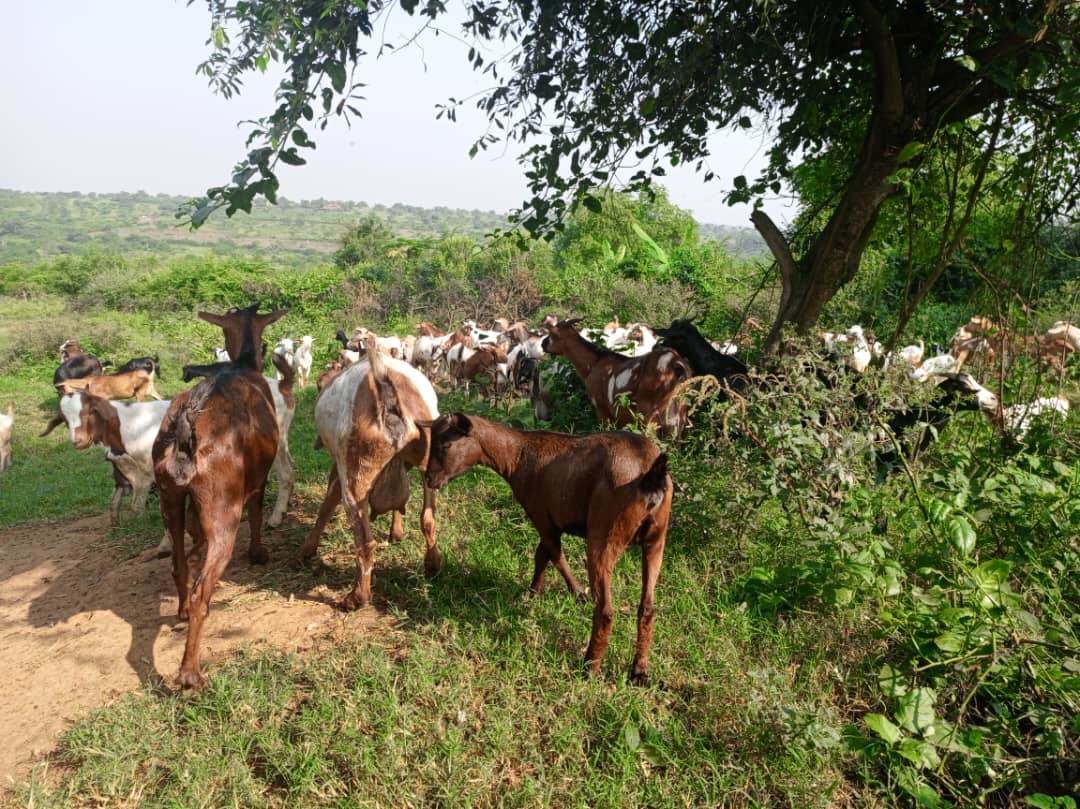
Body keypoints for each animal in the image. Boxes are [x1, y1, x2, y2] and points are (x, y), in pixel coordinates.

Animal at [152, 304, 286, 688]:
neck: (240, 364)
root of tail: (184, 428)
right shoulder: (256, 478)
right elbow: (256, 512)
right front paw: (258, 554)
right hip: (223, 509)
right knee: (202, 590)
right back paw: (189, 673)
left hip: (168, 495)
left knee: (179, 565)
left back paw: (182, 610)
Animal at [298, 334, 441, 610]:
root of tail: (385, 384)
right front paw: (397, 532)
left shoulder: (340, 466)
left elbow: (326, 506)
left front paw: (308, 550)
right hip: (431, 462)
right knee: (428, 520)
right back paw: (432, 566)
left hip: (356, 476)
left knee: (365, 543)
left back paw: (356, 597)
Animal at [423, 412, 672, 684]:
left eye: (446, 445)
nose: (429, 479)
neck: (518, 454)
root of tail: (650, 474)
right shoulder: (550, 520)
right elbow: (542, 554)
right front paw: (535, 592)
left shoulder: (542, 516)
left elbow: (554, 555)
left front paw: (576, 593)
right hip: (656, 540)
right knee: (647, 607)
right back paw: (639, 671)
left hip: (605, 536)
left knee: (606, 611)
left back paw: (589, 667)